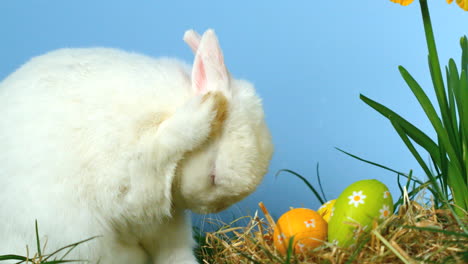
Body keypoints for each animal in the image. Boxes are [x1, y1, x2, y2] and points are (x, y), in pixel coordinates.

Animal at [0, 29, 274, 262]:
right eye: (213, 176)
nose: (211, 208)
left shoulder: (167, 222)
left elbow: (174, 251)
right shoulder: (128, 179)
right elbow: (159, 147)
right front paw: (206, 108)